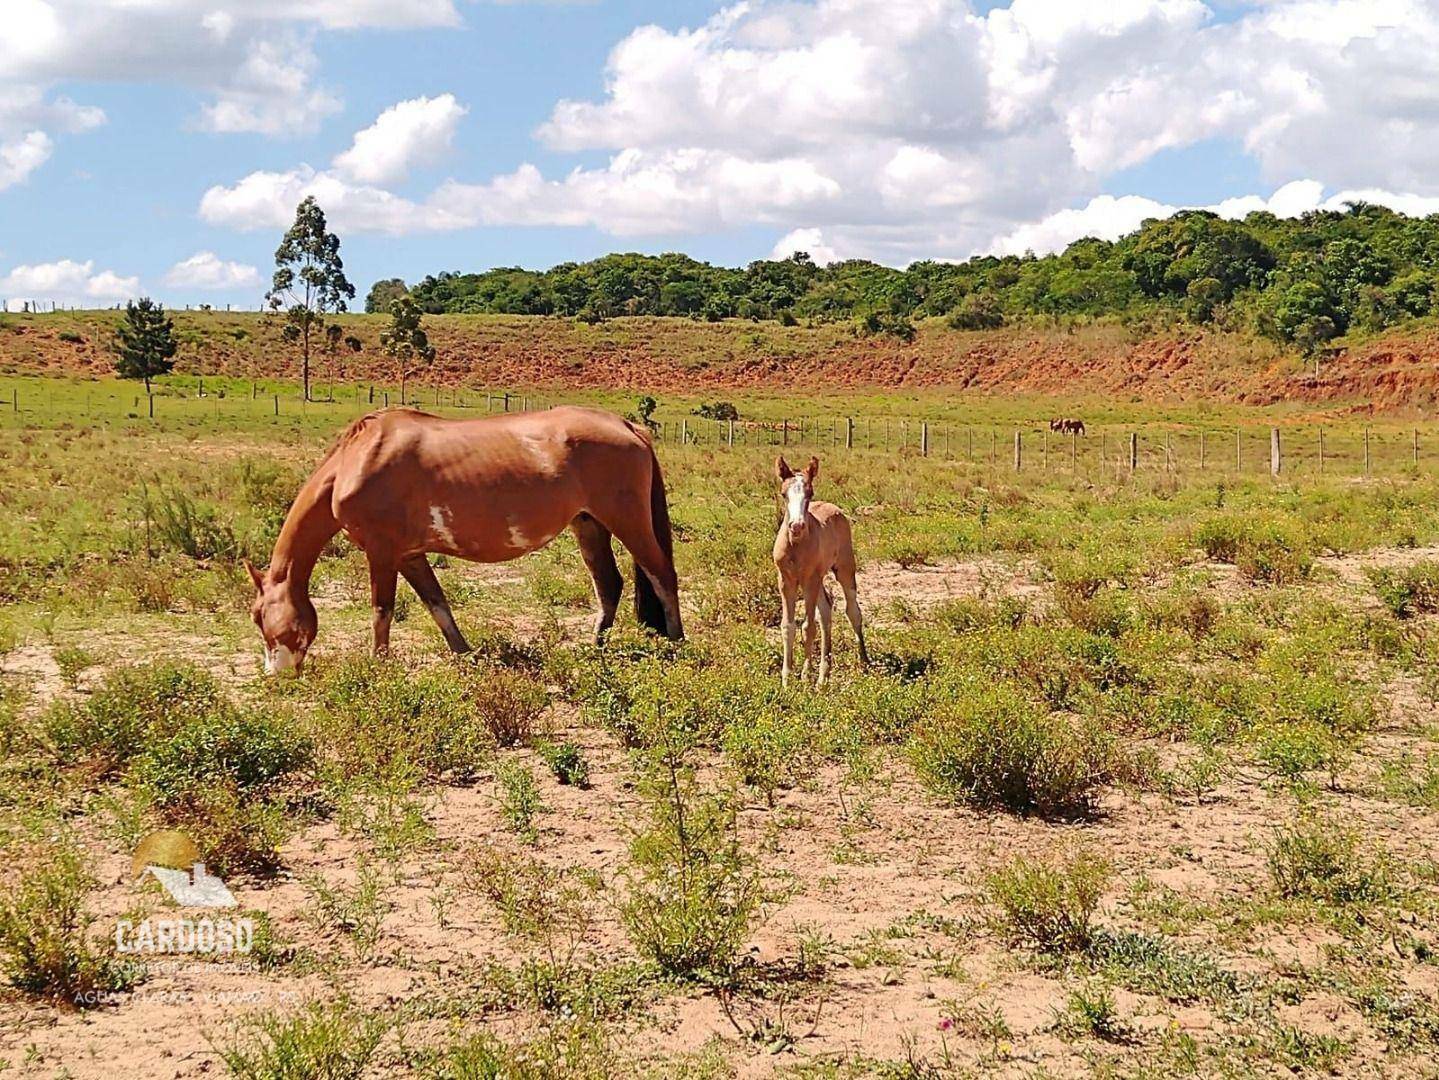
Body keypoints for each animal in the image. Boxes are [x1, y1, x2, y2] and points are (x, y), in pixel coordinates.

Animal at [244, 408, 682, 673]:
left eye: (259, 616)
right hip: (589, 524)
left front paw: (379, 666)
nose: (276, 674)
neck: (358, 460)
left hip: (627, 521)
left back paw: (677, 642)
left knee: (662, 575)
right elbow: (438, 605)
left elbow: (381, 612)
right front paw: (465, 655)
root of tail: (627, 425)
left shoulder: (382, 553)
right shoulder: (410, 555)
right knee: (609, 585)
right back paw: (595, 649)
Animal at [771, 454, 869, 687]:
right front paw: (787, 680)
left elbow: (808, 627)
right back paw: (824, 674)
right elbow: (788, 626)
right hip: (819, 579)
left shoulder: (809, 579)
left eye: (810, 493)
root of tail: (836, 509)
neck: (796, 547)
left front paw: (805, 676)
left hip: (844, 568)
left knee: (852, 611)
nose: (796, 526)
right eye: (783, 494)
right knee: (826, 610)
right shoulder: (785, 581)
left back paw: (863, 662)